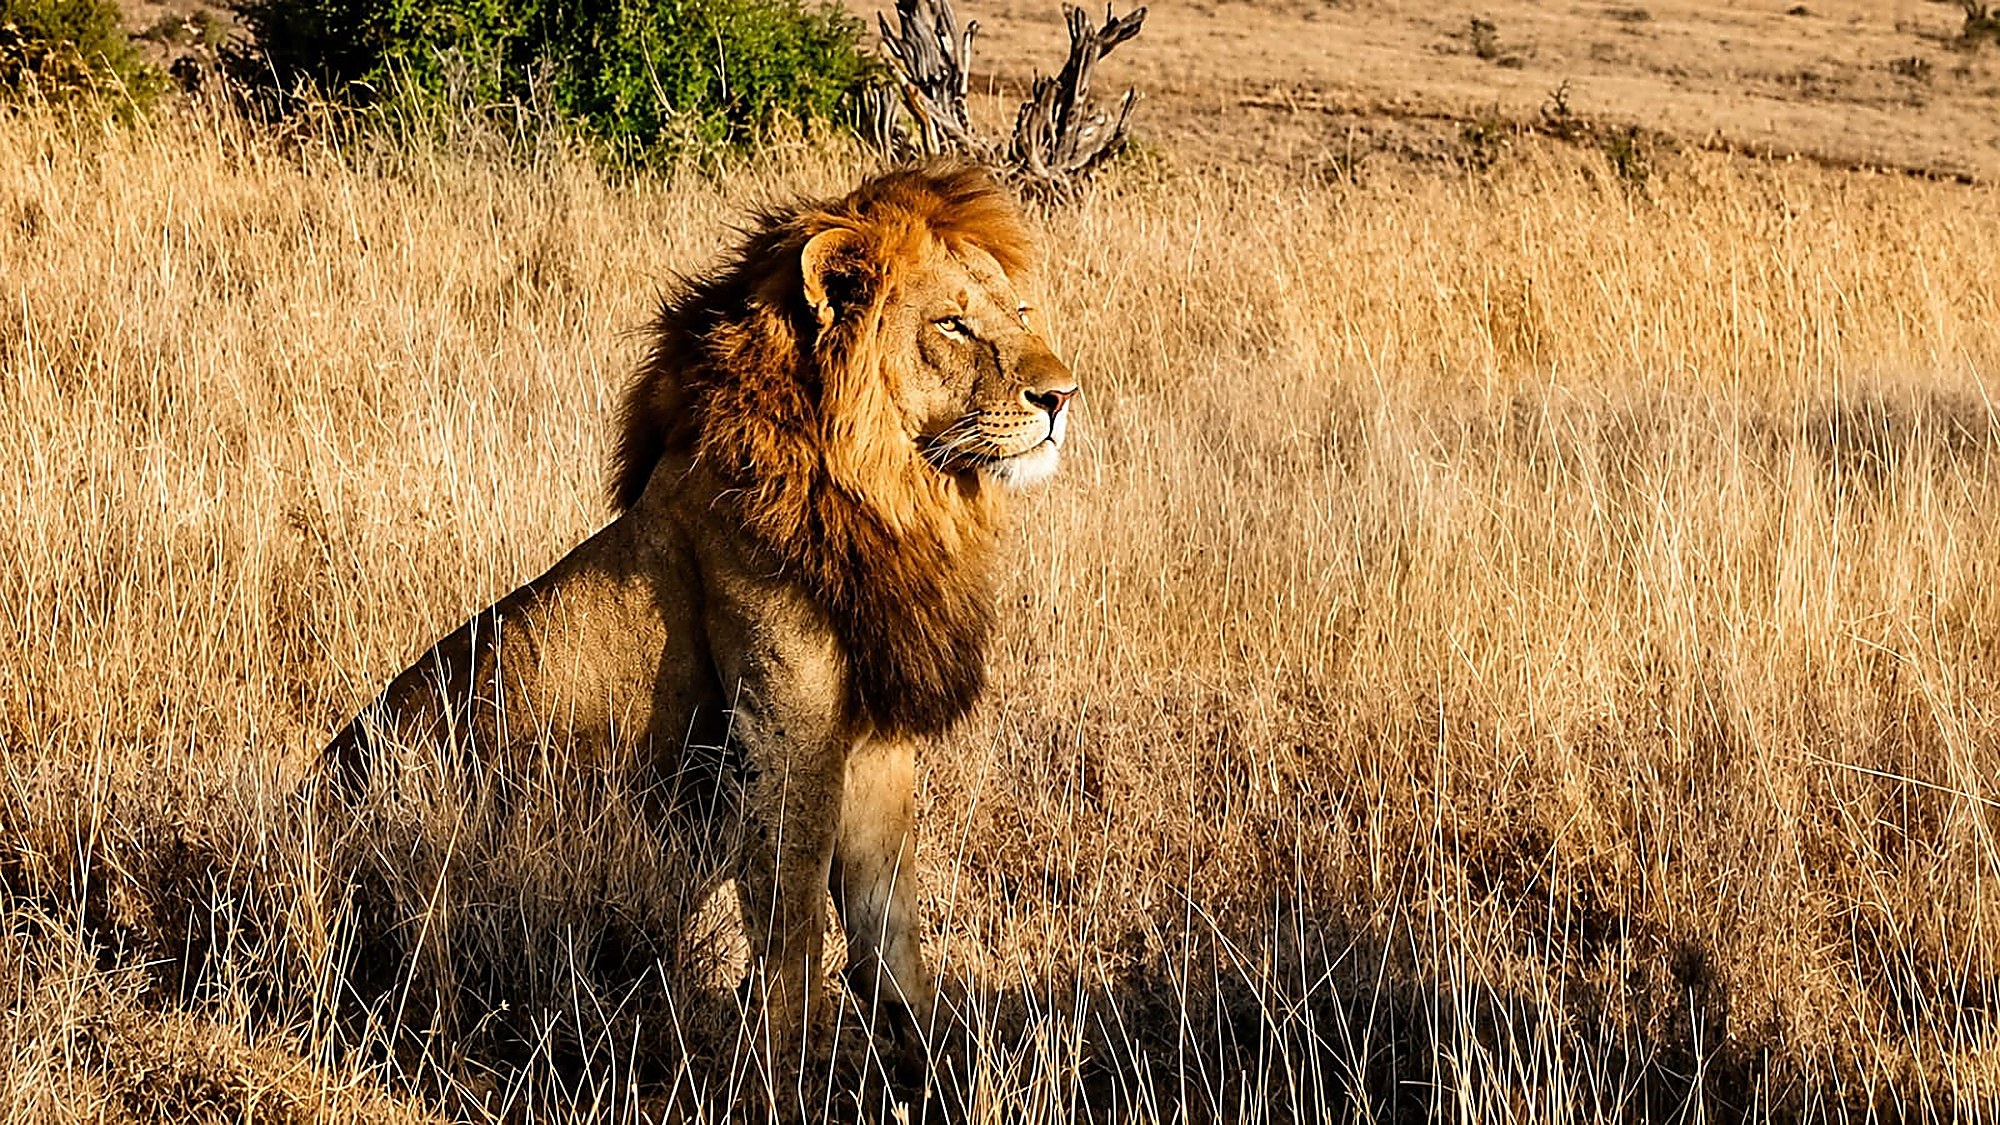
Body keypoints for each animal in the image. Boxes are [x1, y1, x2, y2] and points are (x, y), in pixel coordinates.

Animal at [325, 162, 1076, 1071]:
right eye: (955, 324)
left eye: (1022, 313)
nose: (1062, 396)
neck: (895, 494)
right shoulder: (787, 731)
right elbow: (793, 929)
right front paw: (784, 1077)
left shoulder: (875, 738)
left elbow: (891, 930)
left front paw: (930, 1069)